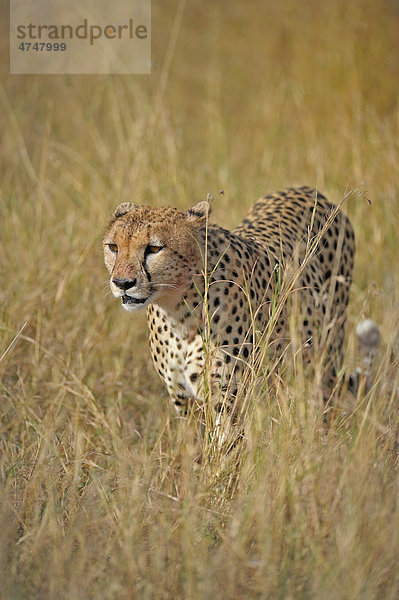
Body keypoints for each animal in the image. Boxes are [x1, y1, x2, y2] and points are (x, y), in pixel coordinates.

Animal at [103, 188, 356, 418]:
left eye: (154, 248)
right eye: (113, 247)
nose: (122, 283)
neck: (178, 311)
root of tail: (309, 190)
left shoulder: (228, 399)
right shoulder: (183, 400)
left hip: (323, 359)